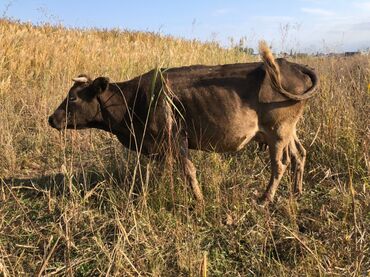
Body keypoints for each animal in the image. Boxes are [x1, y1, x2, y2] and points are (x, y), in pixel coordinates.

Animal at [49, 41, 320, 205]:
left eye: (73, 97)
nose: (52, 119)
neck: (133, 100)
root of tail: (291, 64)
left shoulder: (176, 138)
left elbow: (189, 171)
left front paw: (198, 200)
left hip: (277, 131)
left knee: (281, 164)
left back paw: (265, 198)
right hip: (288, 130)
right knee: (299, 154)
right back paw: (297, 191)